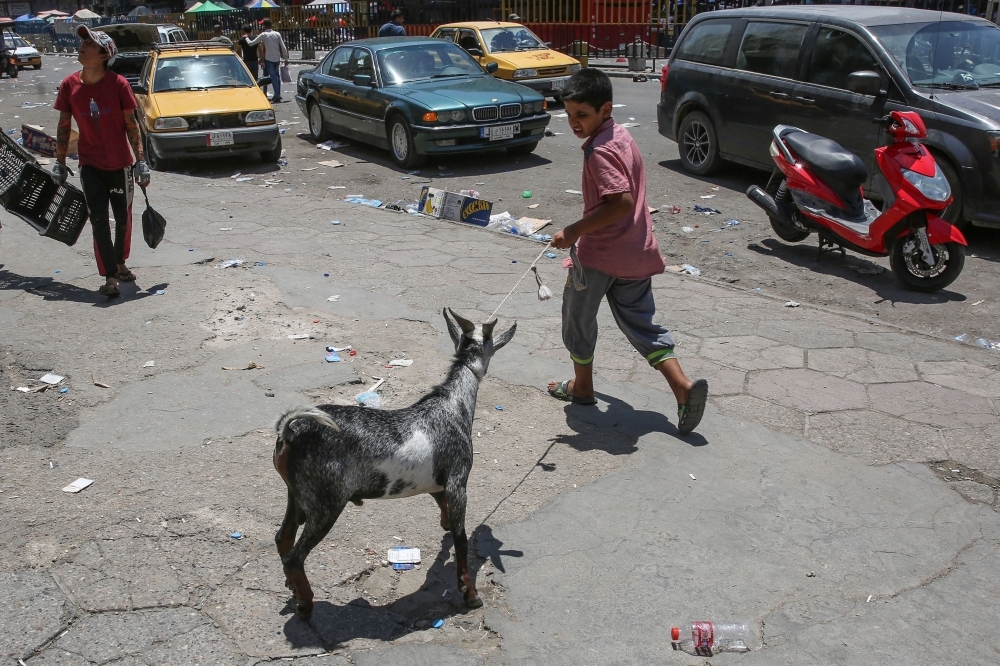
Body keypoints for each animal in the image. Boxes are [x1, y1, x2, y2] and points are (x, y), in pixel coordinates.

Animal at [272, 306, 516, 616]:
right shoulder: (458, 480)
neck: (452, 405)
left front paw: (445, 527)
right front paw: (469, 594)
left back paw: (292, 588)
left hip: (297, 494)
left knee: (283, 537)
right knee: (294, 556)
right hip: (326, 502)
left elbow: (443, 508)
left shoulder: (438, 482)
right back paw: (305, 603)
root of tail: (290, 432)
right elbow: (461, 539)